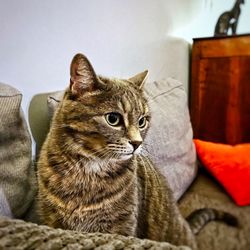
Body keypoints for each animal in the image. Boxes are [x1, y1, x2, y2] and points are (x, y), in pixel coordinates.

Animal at [36, 53, 237, 250]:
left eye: (142, 121)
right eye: (113, 119)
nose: (137, 143)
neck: (88, 170)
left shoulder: (121, 226)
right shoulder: (52, 219)